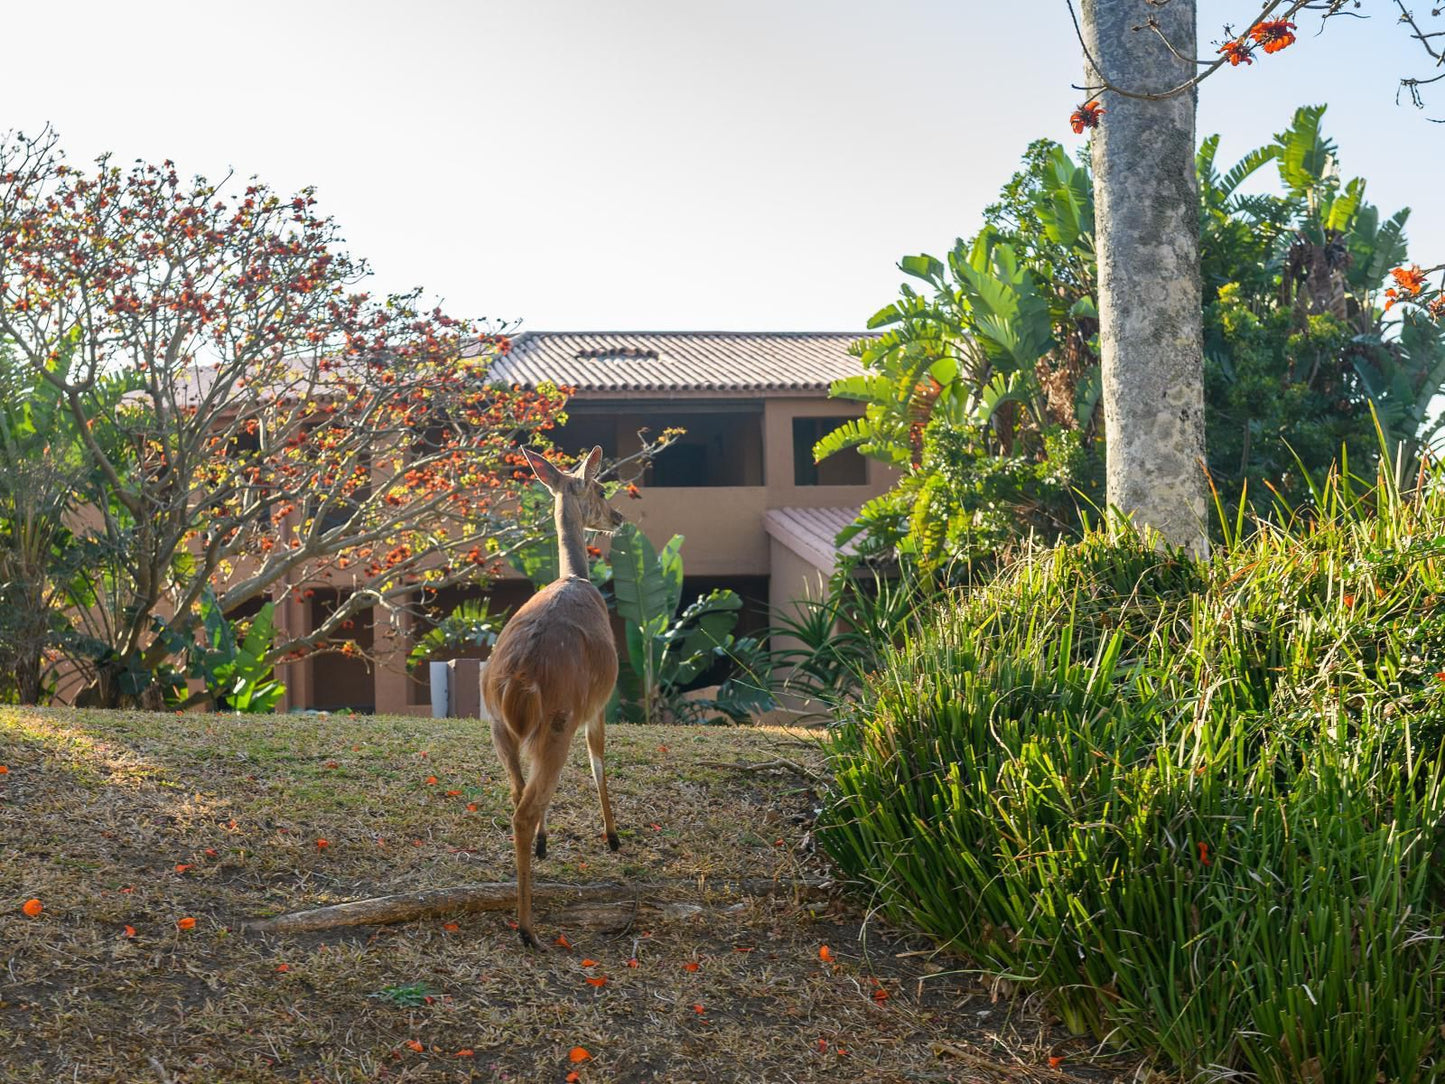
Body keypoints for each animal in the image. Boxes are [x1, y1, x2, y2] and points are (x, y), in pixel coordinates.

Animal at [482, 445, 624, 948]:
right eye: (600, 487)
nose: (618, 517)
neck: (576, 577)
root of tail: (517, 681)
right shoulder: (600, 702)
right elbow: (599, 758)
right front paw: (614, 836)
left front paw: (549, 843)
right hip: (560, 717)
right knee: (525, 808)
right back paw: (527, 930)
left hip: (496, 725)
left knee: (516, 793)